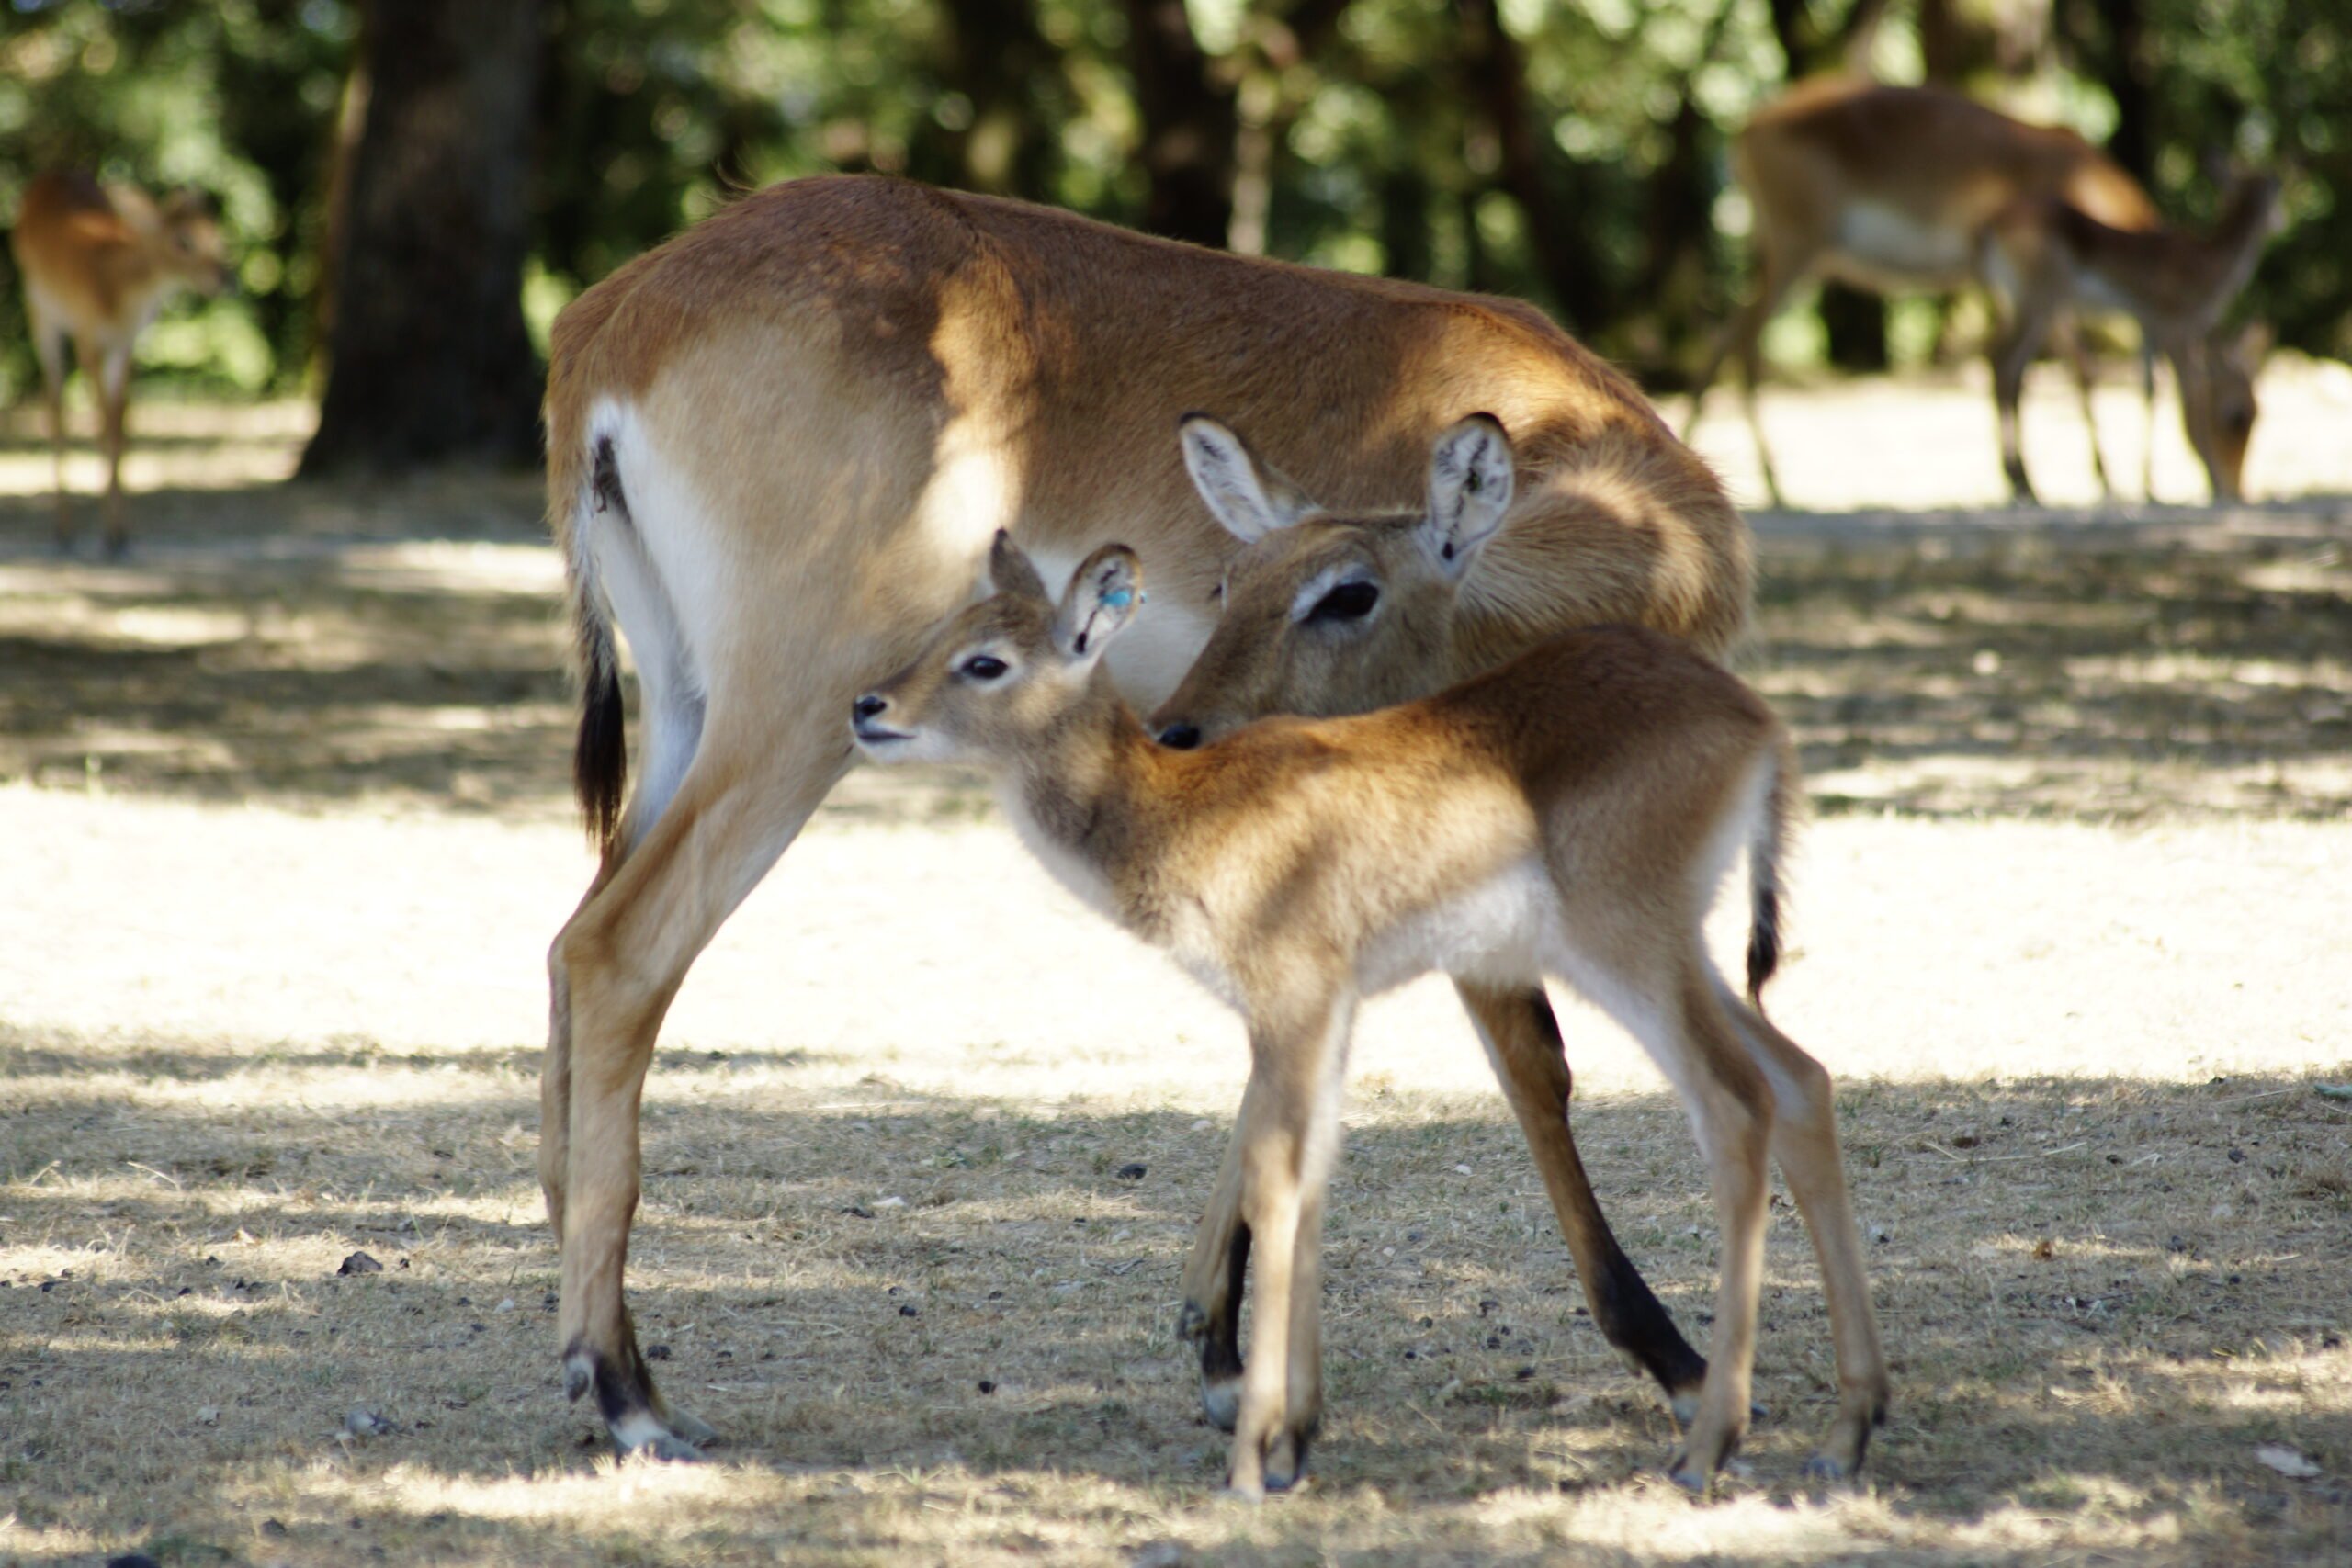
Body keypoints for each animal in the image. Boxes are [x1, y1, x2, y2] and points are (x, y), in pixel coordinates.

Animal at [10, 173, 232, 557]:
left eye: (215, 234)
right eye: (183, 240)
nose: (225, 278)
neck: (115, 290)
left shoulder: (126, 345)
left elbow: (121, 428)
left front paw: (121, 533)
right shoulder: (88, 339)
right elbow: (100, 427)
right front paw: (107, 535)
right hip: (40, 312)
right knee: (55, 407)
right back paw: (63, 531)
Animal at [534, 171, 1749, 1457]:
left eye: (1341, 591)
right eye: (1226, 581)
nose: (1180, 730)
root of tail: (613, 322)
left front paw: (1217, 1343)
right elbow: (1533, 1063)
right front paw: (1671, 1356)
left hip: (682, 705)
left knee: (568, 940)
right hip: (792, 715)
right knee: (620, 952)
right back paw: (629, 1392)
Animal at [855, 425, 1882, 1495]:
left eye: (985, 661)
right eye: (946, 629)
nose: (868, 707)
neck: (1173, 807)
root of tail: (1758, 725)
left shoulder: (1293, 1001)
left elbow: (1277, 1176)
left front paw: (1253, 1452)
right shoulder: (1330, 1012)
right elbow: (1312, 1172)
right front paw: (1293, 1433)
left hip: (1628, 950)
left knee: (1734, 1106)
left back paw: (1709, 1437)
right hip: (1683, 956)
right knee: (1801, 1078)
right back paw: (1848, 1428)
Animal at [1693, 76, 2277, 505]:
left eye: (2258, 414)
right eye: (2236, 416)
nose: (2236, 490)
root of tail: (1745, 129)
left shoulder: (2016, 293)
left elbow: (2112, 380)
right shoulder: (2046, 292)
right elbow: (2078, 371)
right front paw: (2089, 479)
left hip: (1787, 256)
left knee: (1725, 336)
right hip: (1797, 248)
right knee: (1743, 342)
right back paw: (1771, 481)